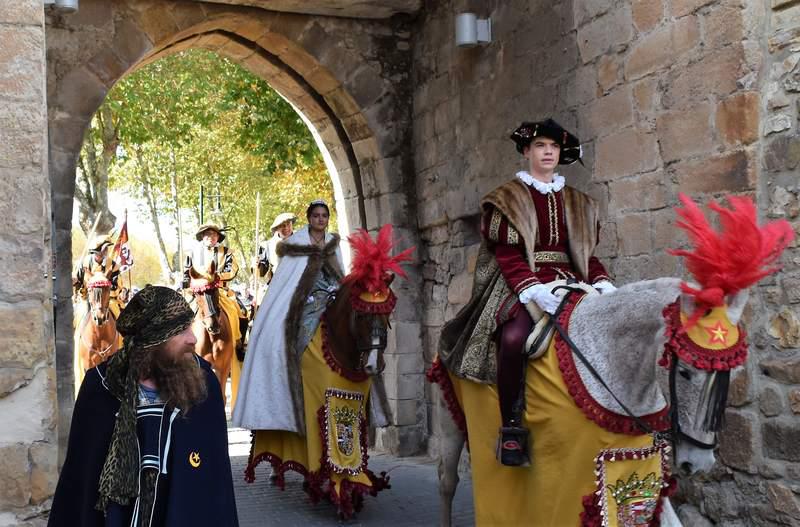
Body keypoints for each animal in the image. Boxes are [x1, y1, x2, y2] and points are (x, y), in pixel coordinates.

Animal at [428, 197, 792, 527]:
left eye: (732, 373)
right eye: (686, 372)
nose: (698, 463)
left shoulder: (639, 459)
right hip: (450, 420)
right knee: (446, 481)